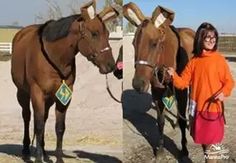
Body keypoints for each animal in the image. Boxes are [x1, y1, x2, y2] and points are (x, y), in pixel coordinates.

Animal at [11, 0, 118, 162]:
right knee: (27, 116)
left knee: (44, 118)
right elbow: (38, 126)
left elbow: (59, 127)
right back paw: (26, 150)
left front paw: (58, 158)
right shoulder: (37, 93)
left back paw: (44, 152)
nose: (111, 65)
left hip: (49, 99)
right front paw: (37, 158)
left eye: (108, 34)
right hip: (22, 93)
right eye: (94, 33)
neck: (54, 57)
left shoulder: (64, 96)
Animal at [123, 2, 195, 158]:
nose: (138, 84)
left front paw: (184, 149)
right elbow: (160, 121)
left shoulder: (181, 90)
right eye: (133, 43)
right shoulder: (157, 91)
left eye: (154, 43)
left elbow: (182, 119)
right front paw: (161, 149)